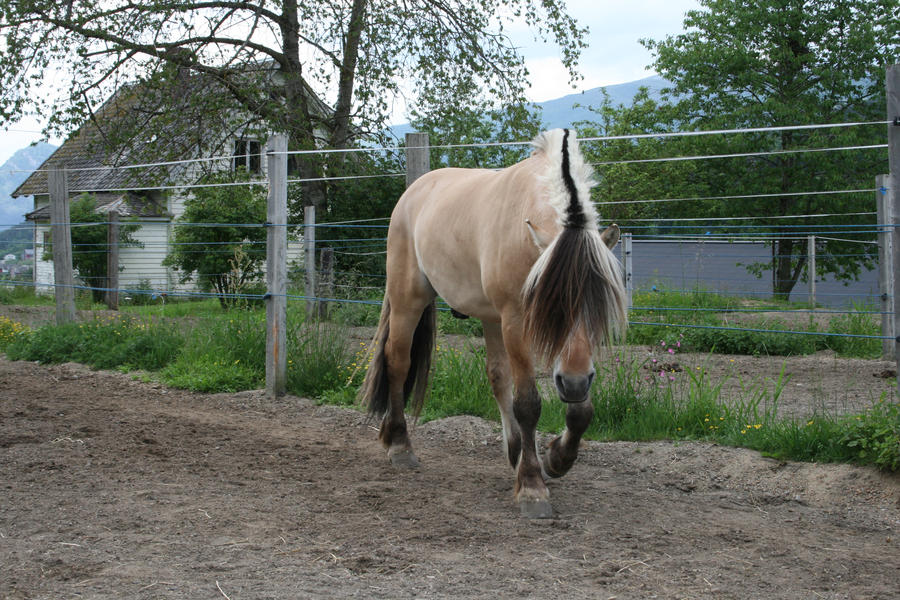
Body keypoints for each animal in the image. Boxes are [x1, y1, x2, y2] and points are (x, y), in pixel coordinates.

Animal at [358, 129, 624, 516]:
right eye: (552, 306)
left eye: (599, 306)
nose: (573, 383)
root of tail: (414, 192)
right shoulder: (515, 320)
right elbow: (528, 403)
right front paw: (532, 487)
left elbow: (581, 410)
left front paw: (556, 458)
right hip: (410, 300)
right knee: (398, 362)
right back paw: (400, 445)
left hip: (488, 317)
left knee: (497, 377)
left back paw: (514, 452)